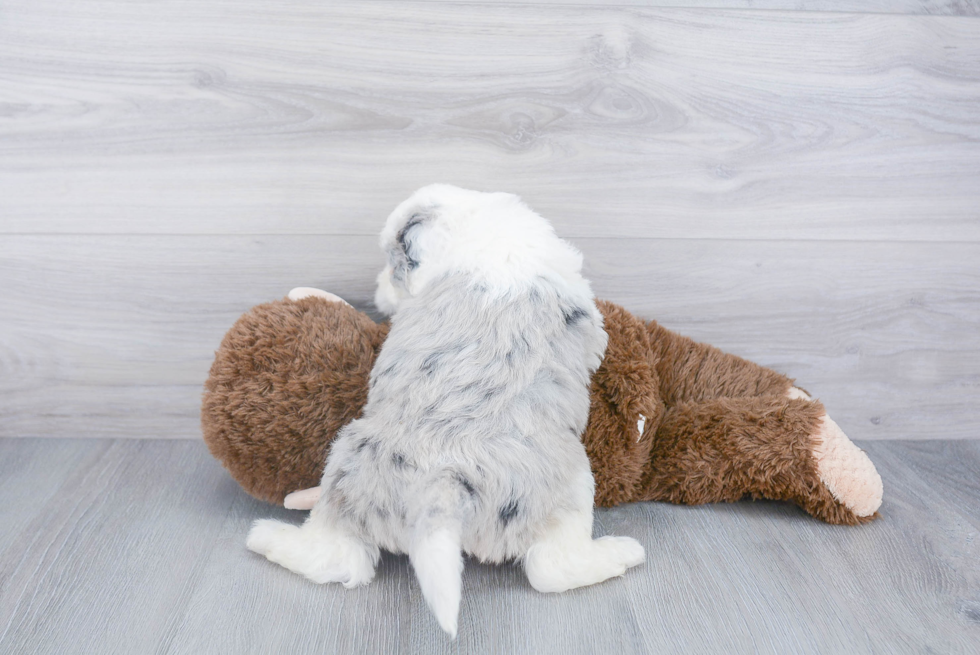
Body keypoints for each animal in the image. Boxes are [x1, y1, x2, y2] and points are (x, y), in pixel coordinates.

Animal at [247, 186, 644, 640]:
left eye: (393, 265)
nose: (378, 289)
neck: (476, 228)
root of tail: (443, 482)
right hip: (572, 481)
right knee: (552, 568)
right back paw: (622, 553)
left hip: (348, 468)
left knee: (336, 556)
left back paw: (278, 525)